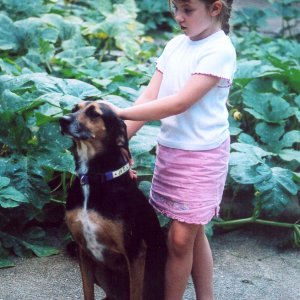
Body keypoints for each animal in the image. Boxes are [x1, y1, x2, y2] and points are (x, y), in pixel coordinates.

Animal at [58, 101, 166, 300]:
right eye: (74, 108)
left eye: (94, 113)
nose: (62, 120)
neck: (93, 177)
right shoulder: (82, 250)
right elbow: (87, 292)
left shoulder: (135, 252)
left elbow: (135, 294)